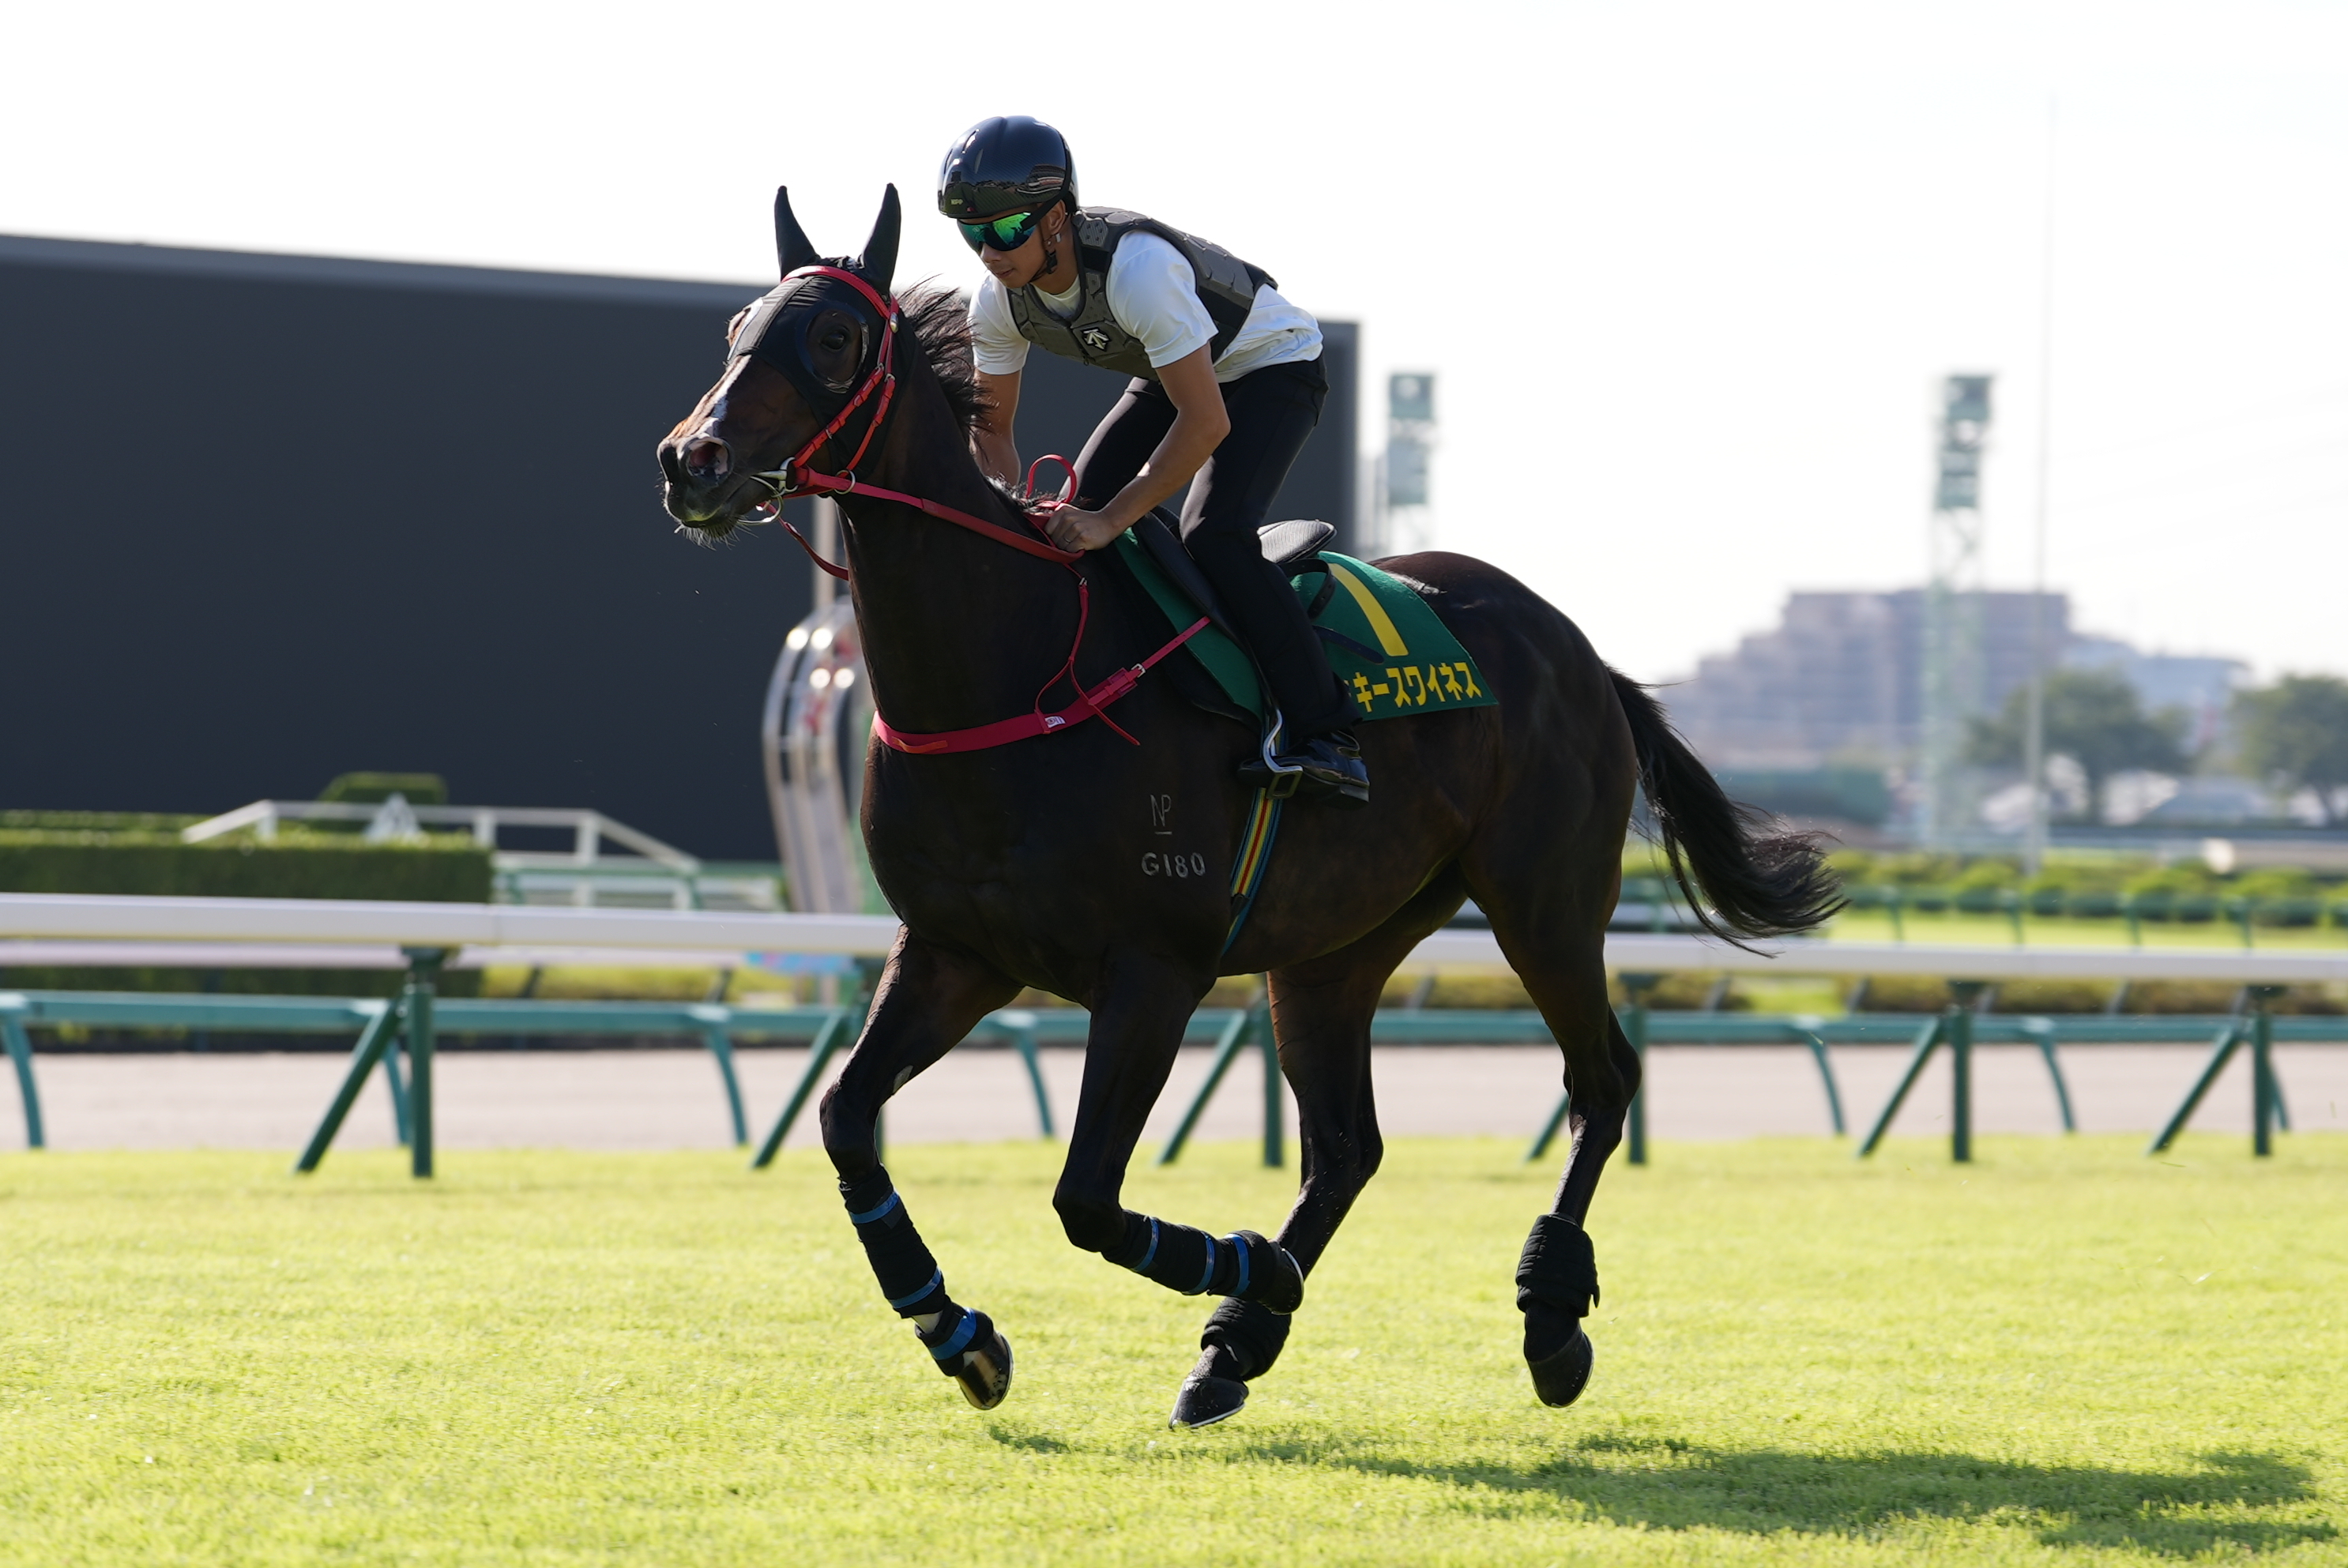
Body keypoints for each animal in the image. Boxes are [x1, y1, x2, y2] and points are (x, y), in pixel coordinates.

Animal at [656, 185, 1839, 1428]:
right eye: (736, 327)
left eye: (835, 338)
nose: (693, 460)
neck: (1015, 666)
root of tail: (1581, 651)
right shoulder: (952, 950)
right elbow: (845, 1119)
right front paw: (955, 1327)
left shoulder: (1154, 967)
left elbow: (1084, 1196)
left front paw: (1239, 1264)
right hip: (1336, 948)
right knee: (1346, 1147)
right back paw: (1233, 1346)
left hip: (1546, 902)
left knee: (1601, 1084)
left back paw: (1546, 1320)